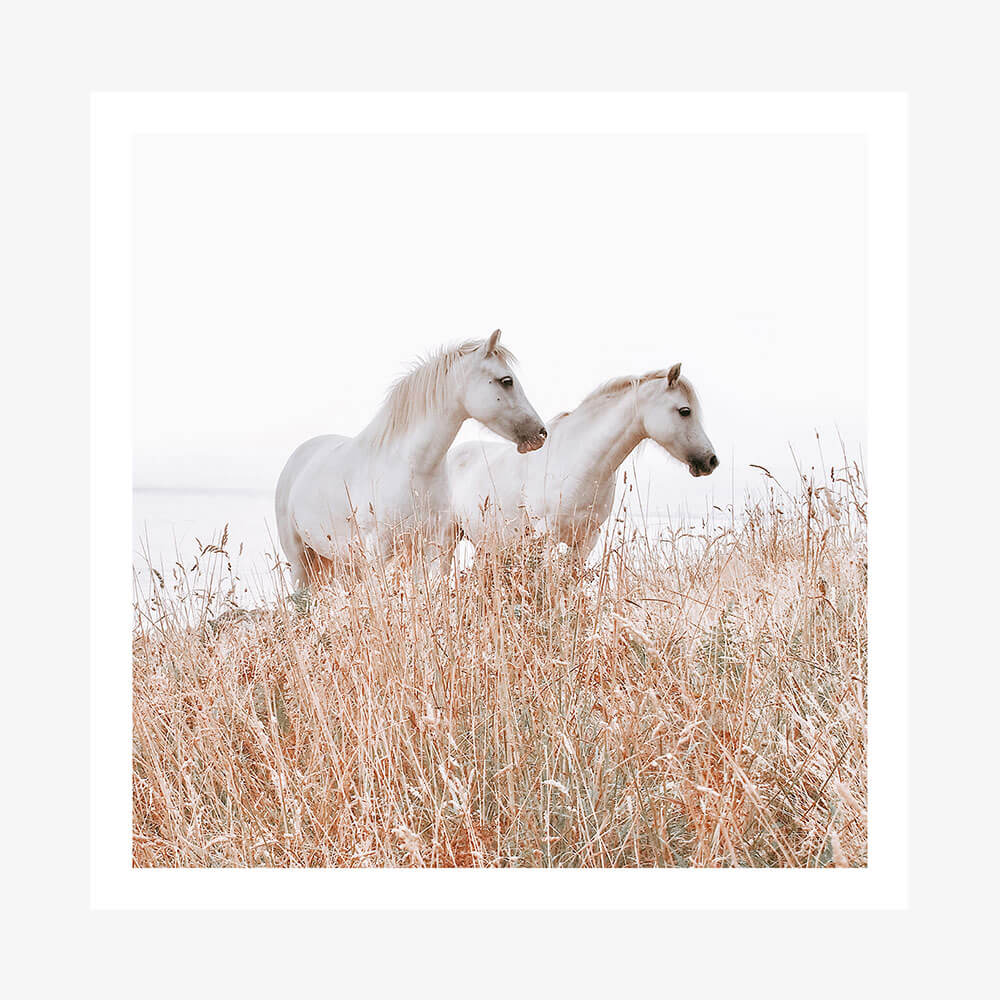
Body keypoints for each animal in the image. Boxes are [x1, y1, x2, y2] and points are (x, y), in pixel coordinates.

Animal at [275, 330, 548, 587]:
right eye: (507, 381)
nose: (541, 433)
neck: (413, 466)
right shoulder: (377, 552)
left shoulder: (427, 547)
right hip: (299, 562)